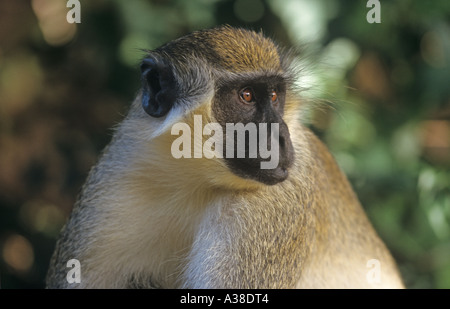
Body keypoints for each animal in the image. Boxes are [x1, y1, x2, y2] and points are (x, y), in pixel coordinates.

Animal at [46, 25, 404, 288]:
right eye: (246, 96)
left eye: (275, 95)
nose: (281, 138)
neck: (192, 182)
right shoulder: (113, 185)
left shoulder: (271, 207)